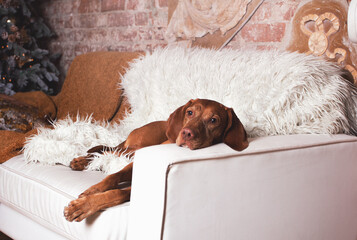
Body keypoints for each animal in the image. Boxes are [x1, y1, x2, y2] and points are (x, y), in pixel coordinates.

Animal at [63, 98, 248, 222]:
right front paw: (92, 191)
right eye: (190, 112)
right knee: (111, 150)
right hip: (139, 147)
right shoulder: (135, 164)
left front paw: (83, 206)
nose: (187, 133)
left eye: (213, 120)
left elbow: (117, 192)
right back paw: (82, 161)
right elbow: (113, 176)